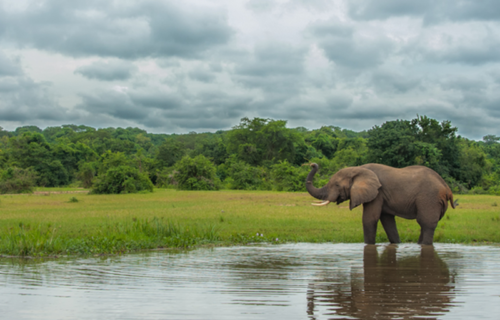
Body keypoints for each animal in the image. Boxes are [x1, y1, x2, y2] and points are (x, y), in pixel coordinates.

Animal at [304, 164, 458, 244]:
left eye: (336, 185)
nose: (313, 164)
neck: (359, 169)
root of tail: (447, 187)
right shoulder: (382, 196)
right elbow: (387, 221)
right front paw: (397, 244)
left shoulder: (377, 193)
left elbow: (369, 219)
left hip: (429, 199)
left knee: (426, 224)